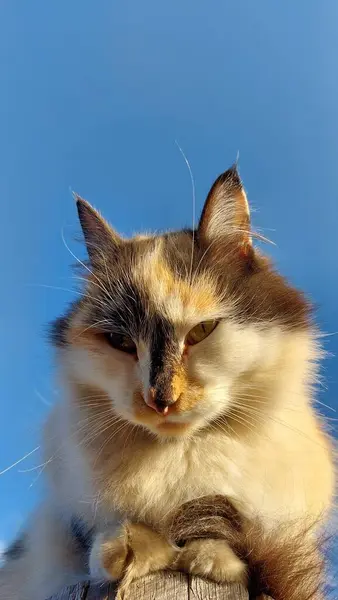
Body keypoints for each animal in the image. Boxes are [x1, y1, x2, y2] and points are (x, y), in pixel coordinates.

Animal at [0, 165, 334, 600]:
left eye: (202, 331)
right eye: (121, 342)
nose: (160, 400)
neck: (180, 460)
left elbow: (228, 541)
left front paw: (207, 558)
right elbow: (103, 542)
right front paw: (126, 550)